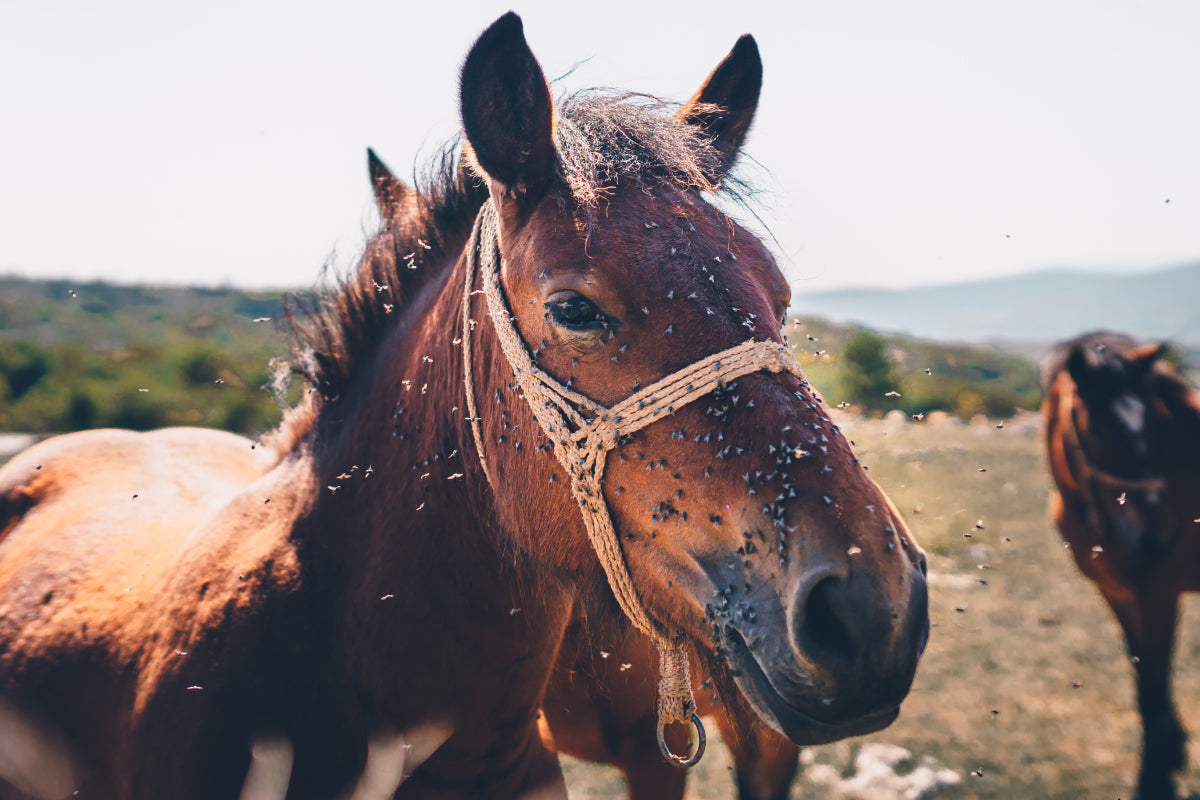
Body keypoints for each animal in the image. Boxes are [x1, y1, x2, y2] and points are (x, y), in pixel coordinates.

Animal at [1041, 331, 1200, 800]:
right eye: (1095, 428)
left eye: (1151, 424)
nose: (1159, 535)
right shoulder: (1117, 593)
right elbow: (1142, 672)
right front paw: (1170, 750)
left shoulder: (1159, 595)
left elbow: (1153, 684)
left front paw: (1155, 780)